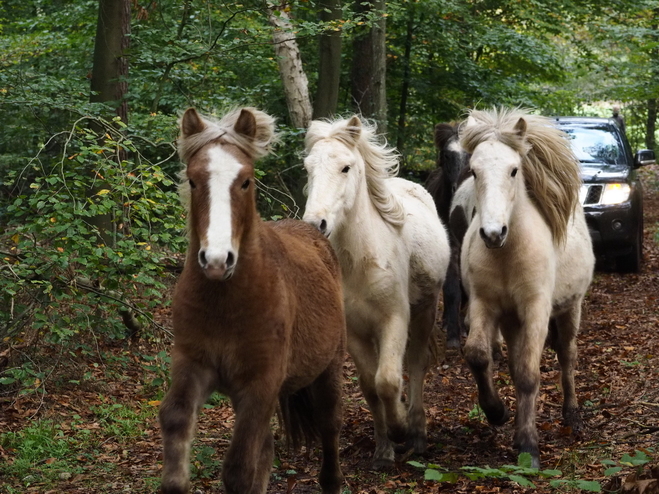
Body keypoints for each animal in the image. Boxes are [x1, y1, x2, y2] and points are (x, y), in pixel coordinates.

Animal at [159, 108, 346, 494]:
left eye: (245, 181)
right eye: (193, 180)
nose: (217, 260)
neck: (227, 302)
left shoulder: (260, 384)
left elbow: (239, 470)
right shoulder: (193, 366)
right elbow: (175, 420)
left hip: (329, 369)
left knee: (330, 426)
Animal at [306, 115, 454, 466]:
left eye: (345, 168)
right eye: (308, 168)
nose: (315, 224)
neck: (362, 261)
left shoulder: (395, 319)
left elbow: (387, 380)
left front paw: (400, 429)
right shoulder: (355, 333)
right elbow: (371, 386)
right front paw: (384, 449)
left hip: (425, 311)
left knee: (415, 364)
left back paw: (417, 433)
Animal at [458, 107, 592, 466]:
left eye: (514, 170)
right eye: (473, 171)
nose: (493, 233)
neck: (507, 254)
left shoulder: (536, 310)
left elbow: (530, 374)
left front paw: (529, 446)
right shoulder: (484, 305)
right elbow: (478, 355)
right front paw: (496, 412)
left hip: (569, 309)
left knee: (567, 356)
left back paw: (572, 414)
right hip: (510, 321)